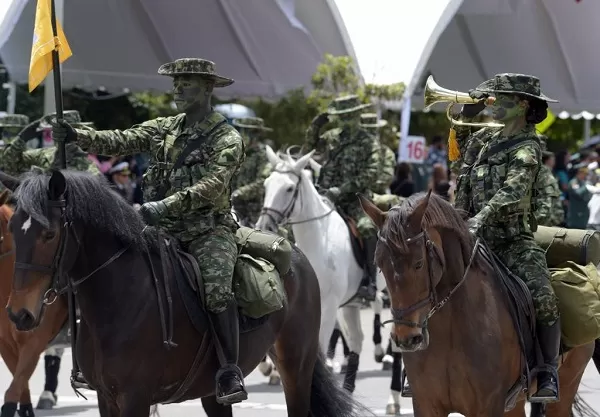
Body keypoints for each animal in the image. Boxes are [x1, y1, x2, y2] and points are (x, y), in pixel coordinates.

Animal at [255, 147, 386, 394]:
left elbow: (321, 349)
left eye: (289, 188)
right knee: (357, 339)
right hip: (351, 305)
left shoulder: (329, 305)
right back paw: (348, 388)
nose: (264, 227)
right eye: (266, 185)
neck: (319, 240)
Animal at [358, 191, 596, 416]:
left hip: (567, 382)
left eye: (418, 263)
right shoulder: (426, 405)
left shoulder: (488, 406)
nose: (406, 338)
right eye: (380, 265)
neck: (450, 330)